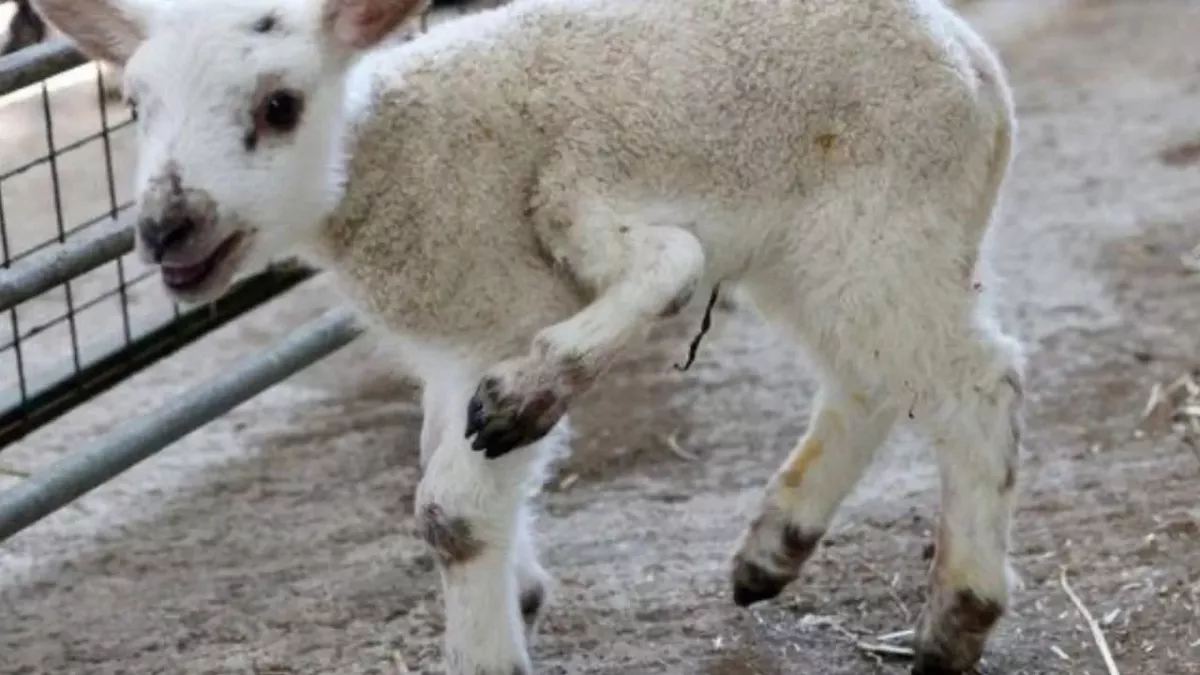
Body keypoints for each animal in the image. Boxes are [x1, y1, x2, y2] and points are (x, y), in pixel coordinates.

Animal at [31, 0, 1025, 673]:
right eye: (133, 104)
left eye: (279, 105)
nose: (168, 228)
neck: (398, 155)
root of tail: (977, 64)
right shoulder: (452, 343)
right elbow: (449, 473)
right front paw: (526, 590)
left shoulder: (515, 292)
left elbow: (453, 510)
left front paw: (488, 633)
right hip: (821, 250)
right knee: (868, 381)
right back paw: (771, 550)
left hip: (883, 220)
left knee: (977, 386)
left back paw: (954, 620)